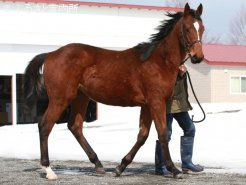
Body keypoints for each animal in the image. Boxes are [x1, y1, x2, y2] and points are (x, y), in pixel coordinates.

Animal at [23, 2, 204, 179]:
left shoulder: (147, 105)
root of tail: (50, 54)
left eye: (201, 28)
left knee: (75, 126)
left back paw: (98, 165)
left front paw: (120, 167)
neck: (158, 61)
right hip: (60, 99)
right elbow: (163, 134)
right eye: (187, 28)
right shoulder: (156, 102)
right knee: (45, 125)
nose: (198, 57)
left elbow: (143, 135)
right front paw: (174, 170)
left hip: (81, 97)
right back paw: (49, 170)